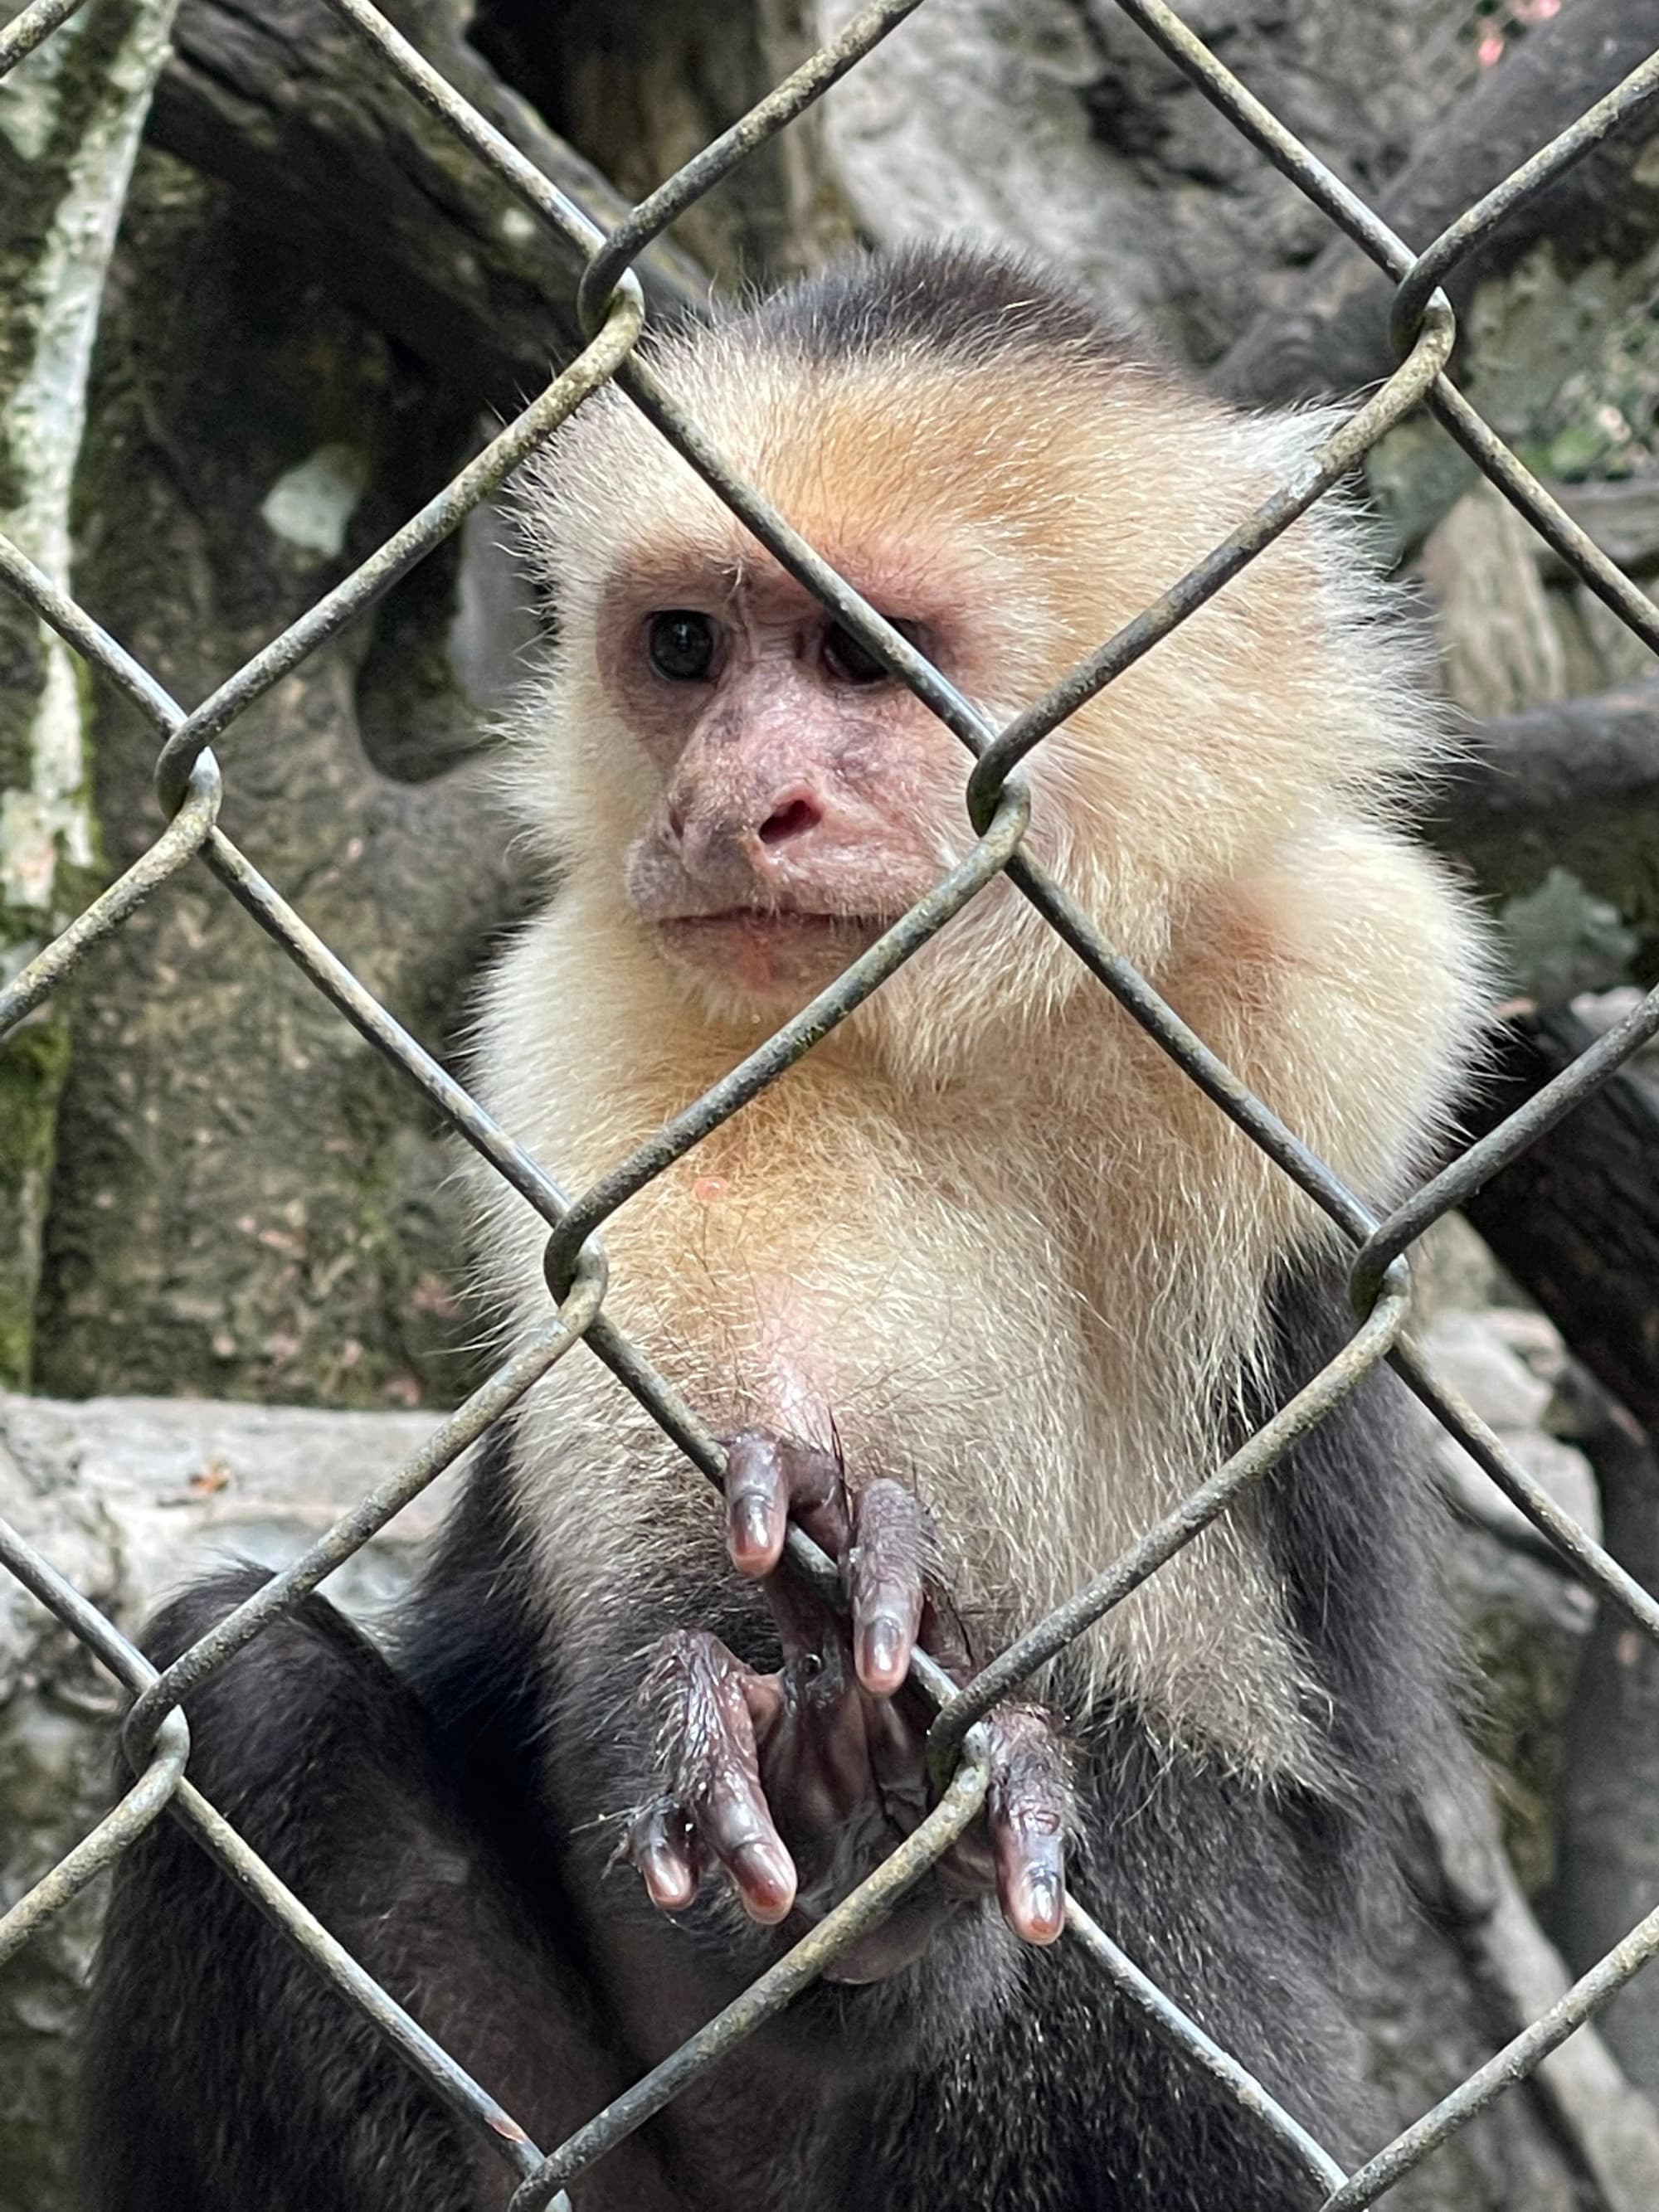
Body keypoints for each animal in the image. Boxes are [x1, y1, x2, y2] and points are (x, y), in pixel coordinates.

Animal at [79, 242, 1490, 2212]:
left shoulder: (1345, 977)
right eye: (686, 648)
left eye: (857, 657)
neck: (974, 1005)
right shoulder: (597, 1005)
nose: (734, 802)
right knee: (252, 1705)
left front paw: (860, 1792)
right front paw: (806, 1748)